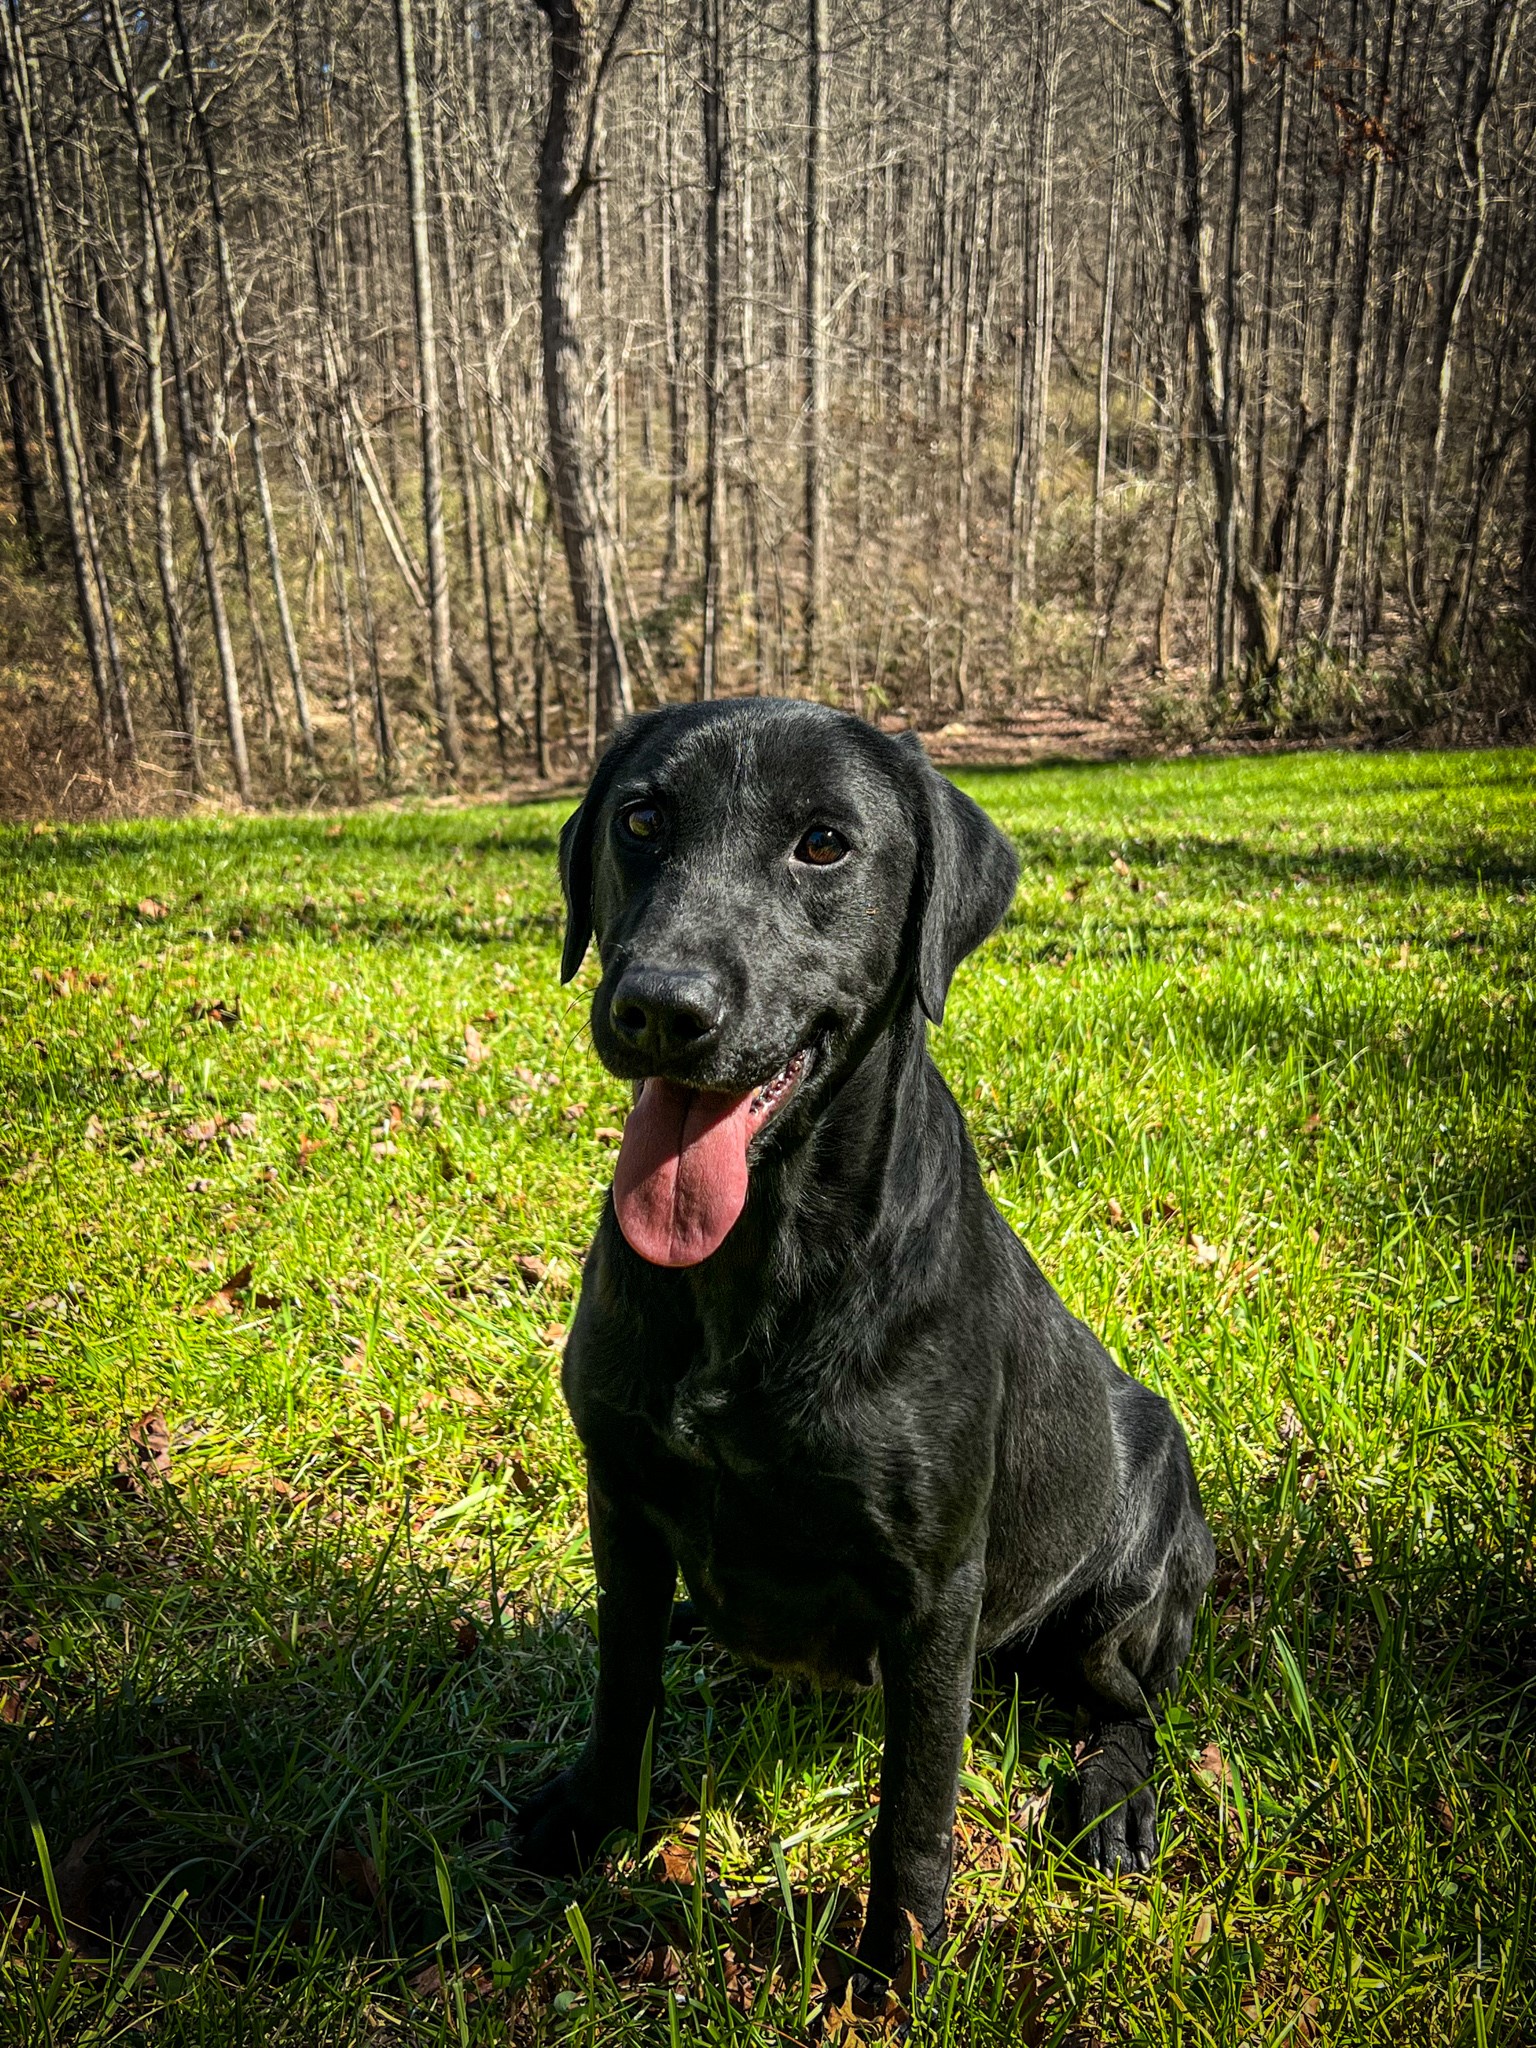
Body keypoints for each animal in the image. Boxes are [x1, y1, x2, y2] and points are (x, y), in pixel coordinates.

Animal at [518, 704, 1212, 1982]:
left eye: (825, 843)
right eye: (641, 818)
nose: (660, 1005)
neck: (758, 1257)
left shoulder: (933, 1588)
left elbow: (916, 1800)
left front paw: (894, 1969)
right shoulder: (622, 1503)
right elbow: (622, 1686)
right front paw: (591, 1817)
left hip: (1119, 1595)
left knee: (1134, 1709)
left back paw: (1112, 1798)